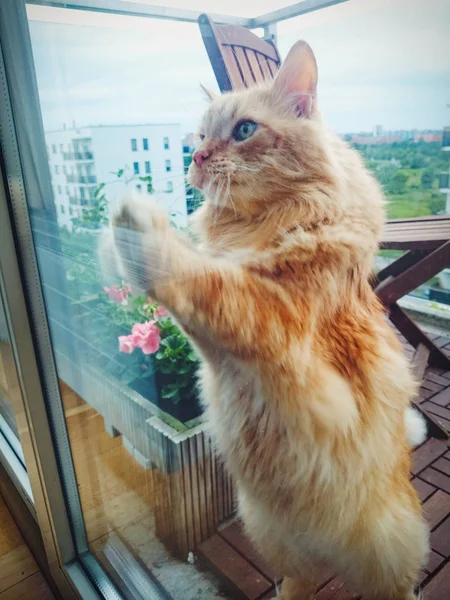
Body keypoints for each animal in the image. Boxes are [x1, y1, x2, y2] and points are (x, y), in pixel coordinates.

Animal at [105, 39, 428, 600]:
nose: (197, 156)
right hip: (272, 534)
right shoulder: (221, 356)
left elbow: (209, 286)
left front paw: (133, 223)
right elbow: (206, 301)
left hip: (387, 554)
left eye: (244, 131)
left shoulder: (278, 334)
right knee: (297, 579)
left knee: (395, 586)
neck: (260, 227)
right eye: (200, 136)